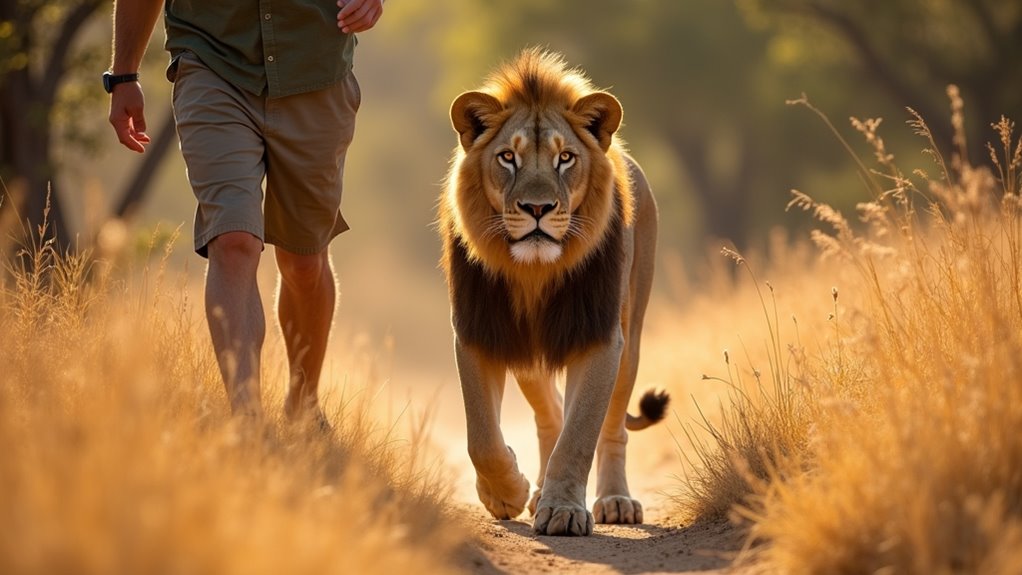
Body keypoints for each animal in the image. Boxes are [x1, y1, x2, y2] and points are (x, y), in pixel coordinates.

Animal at [439, 48, 668, 537]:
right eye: (508, 157)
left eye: (565, 158)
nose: (538, 208)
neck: (534, 272)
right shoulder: (478, 331)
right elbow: (481, 435)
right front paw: (506, 492)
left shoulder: (601, 337)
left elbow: (580, 434)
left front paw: (564, 510)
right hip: (528, 354)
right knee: (549, 417)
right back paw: (537, 488)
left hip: (631, 337)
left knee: (613, 426)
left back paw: (615, 500)